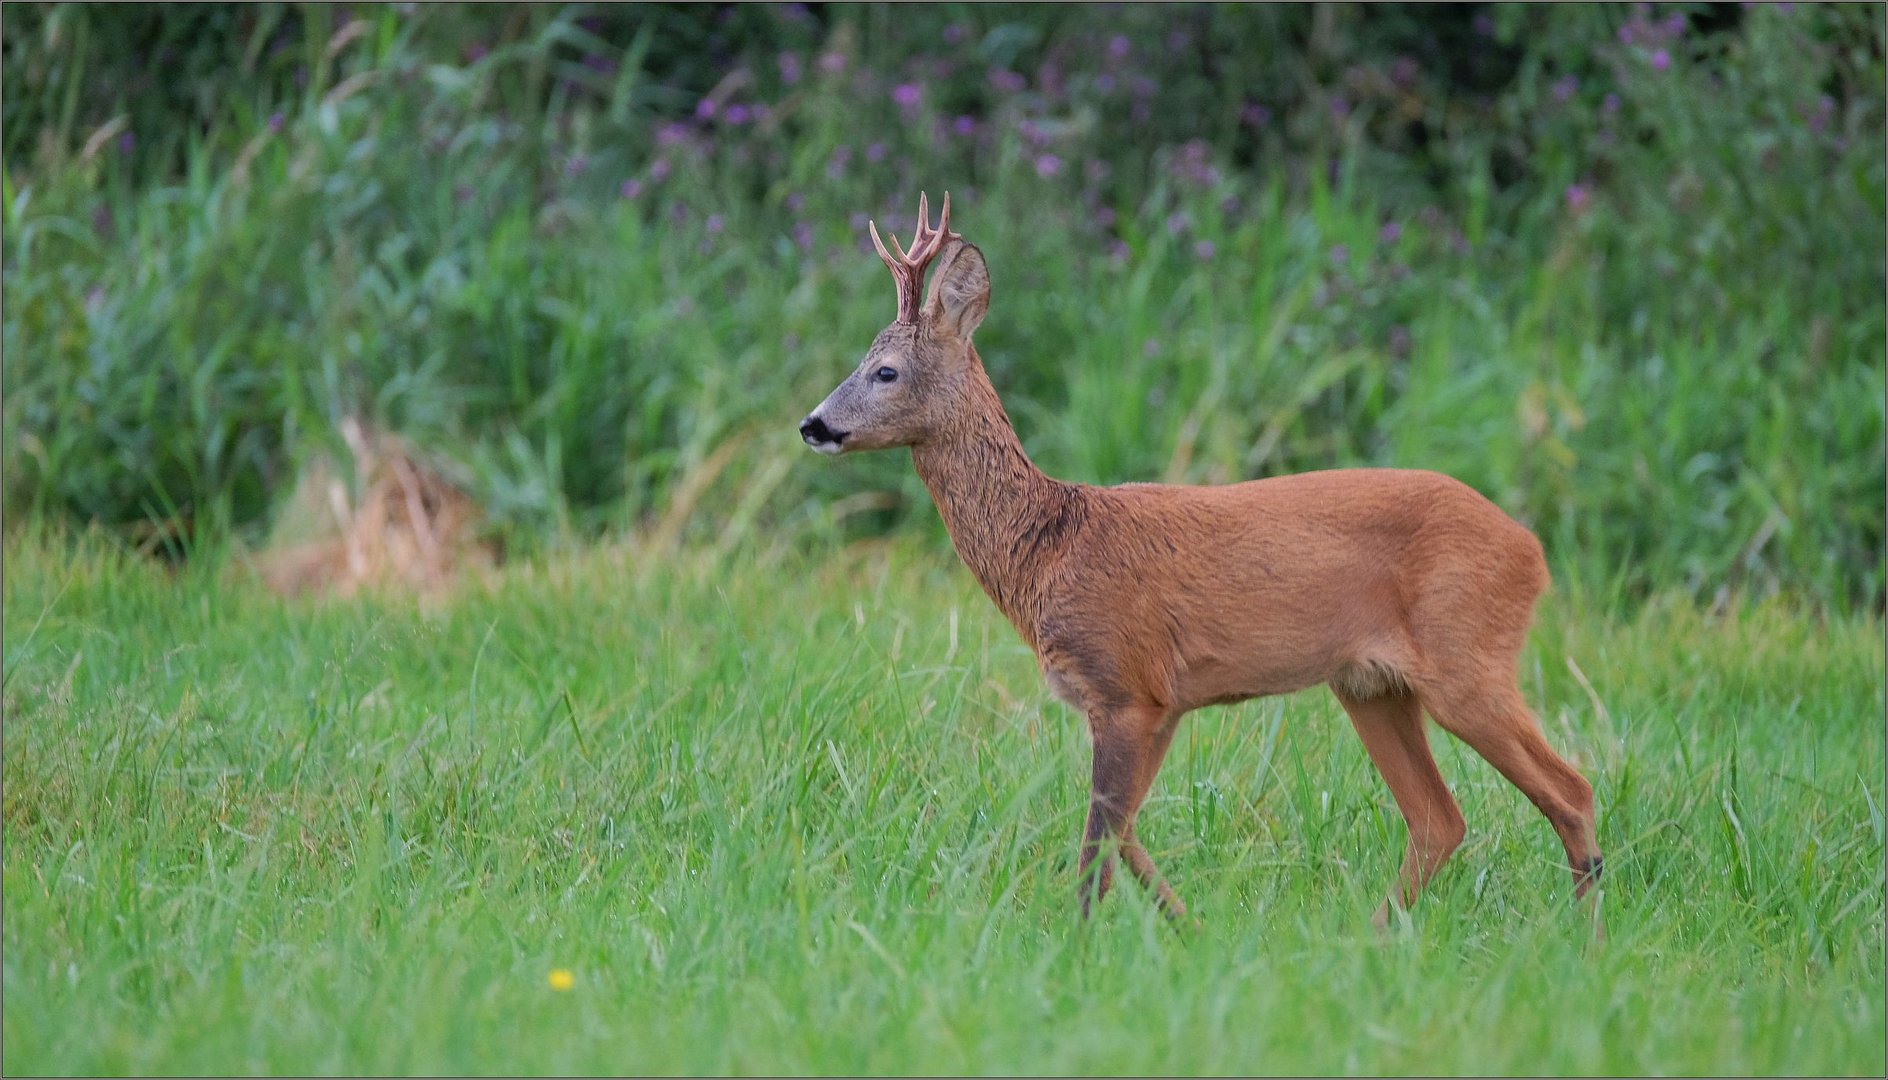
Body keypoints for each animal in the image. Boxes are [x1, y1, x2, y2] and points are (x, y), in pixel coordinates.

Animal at [804, 191, 1601, 921]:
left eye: (884, 371)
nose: (813, 425)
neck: (1048, 547)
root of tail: (1532, 551)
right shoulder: (1161, 700)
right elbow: (1124, 831)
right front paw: (1183, 927)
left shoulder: (1122, 683)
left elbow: (1098, 838)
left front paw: (1081, 940)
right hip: (1371, 685)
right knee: (1441, 819)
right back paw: (1371, 937)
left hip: (1466, 658)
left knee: (1572, 789)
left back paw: (1581, 938)